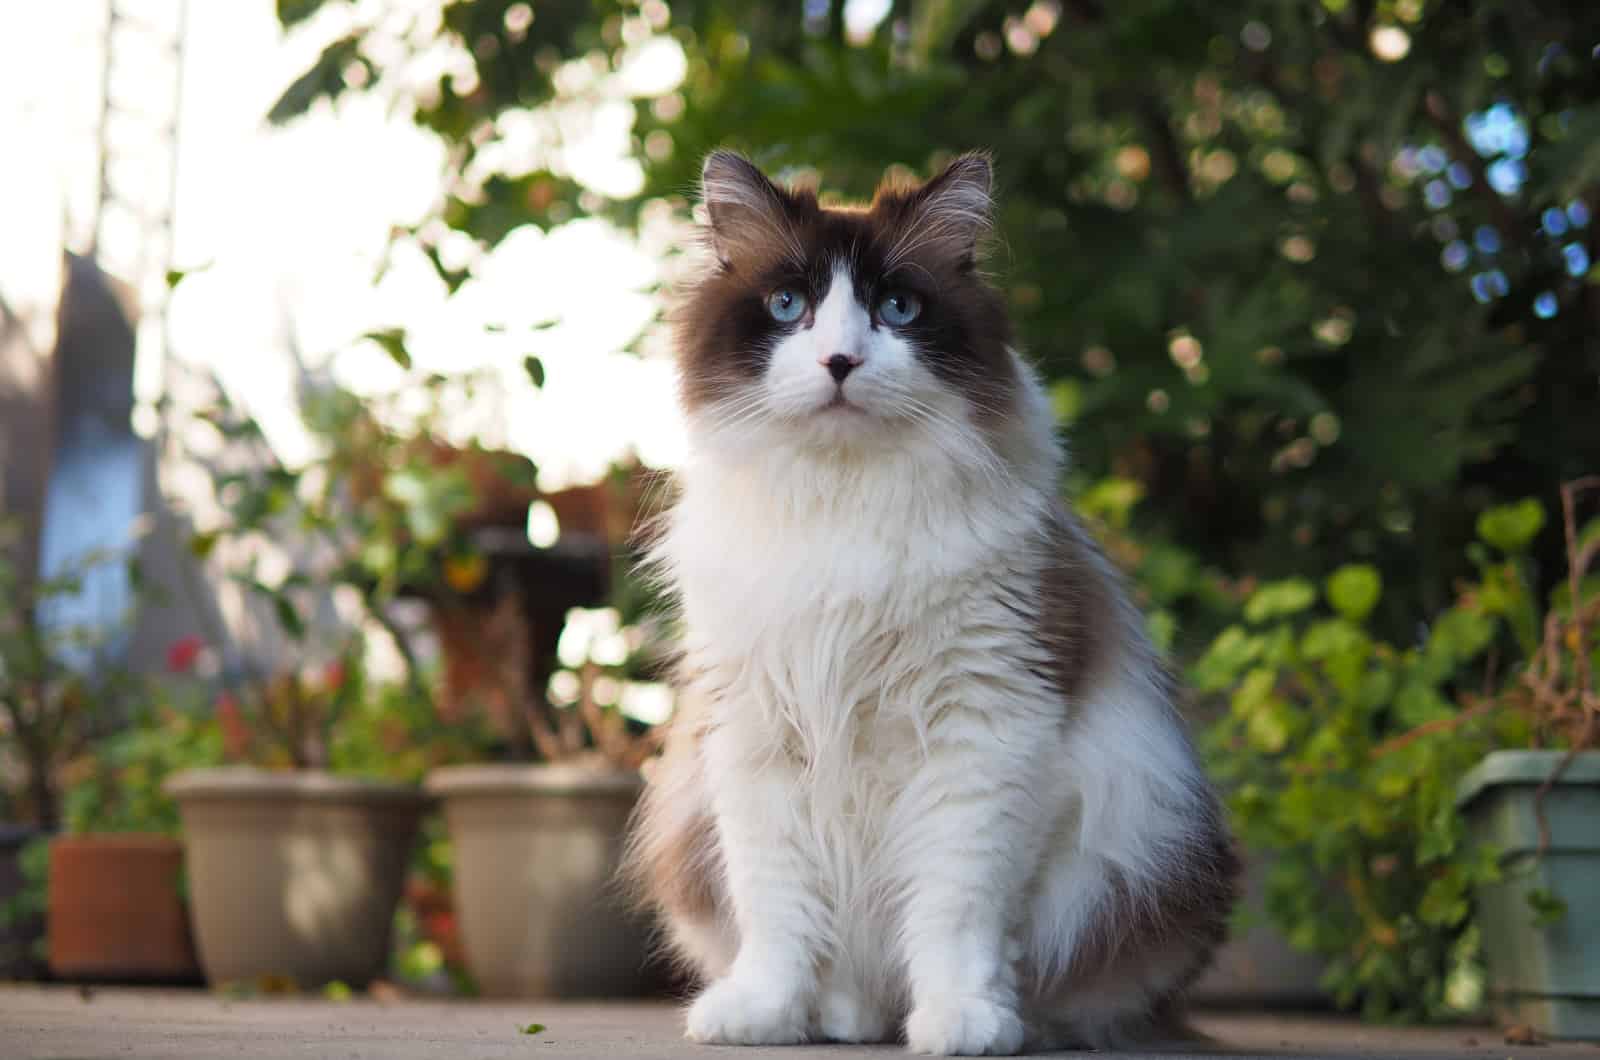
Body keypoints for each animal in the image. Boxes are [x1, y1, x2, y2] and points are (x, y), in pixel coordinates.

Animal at [624, 153, 1235, 1056]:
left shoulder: (980, 732)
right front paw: (763, 1014)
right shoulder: (759, 733)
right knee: (843, 979)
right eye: (788, 306)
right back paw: (840, 1017)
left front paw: (963, 1023)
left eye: (898, 309)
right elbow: (778, 911)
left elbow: (955, 914)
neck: (844, 502)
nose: (840, 362)